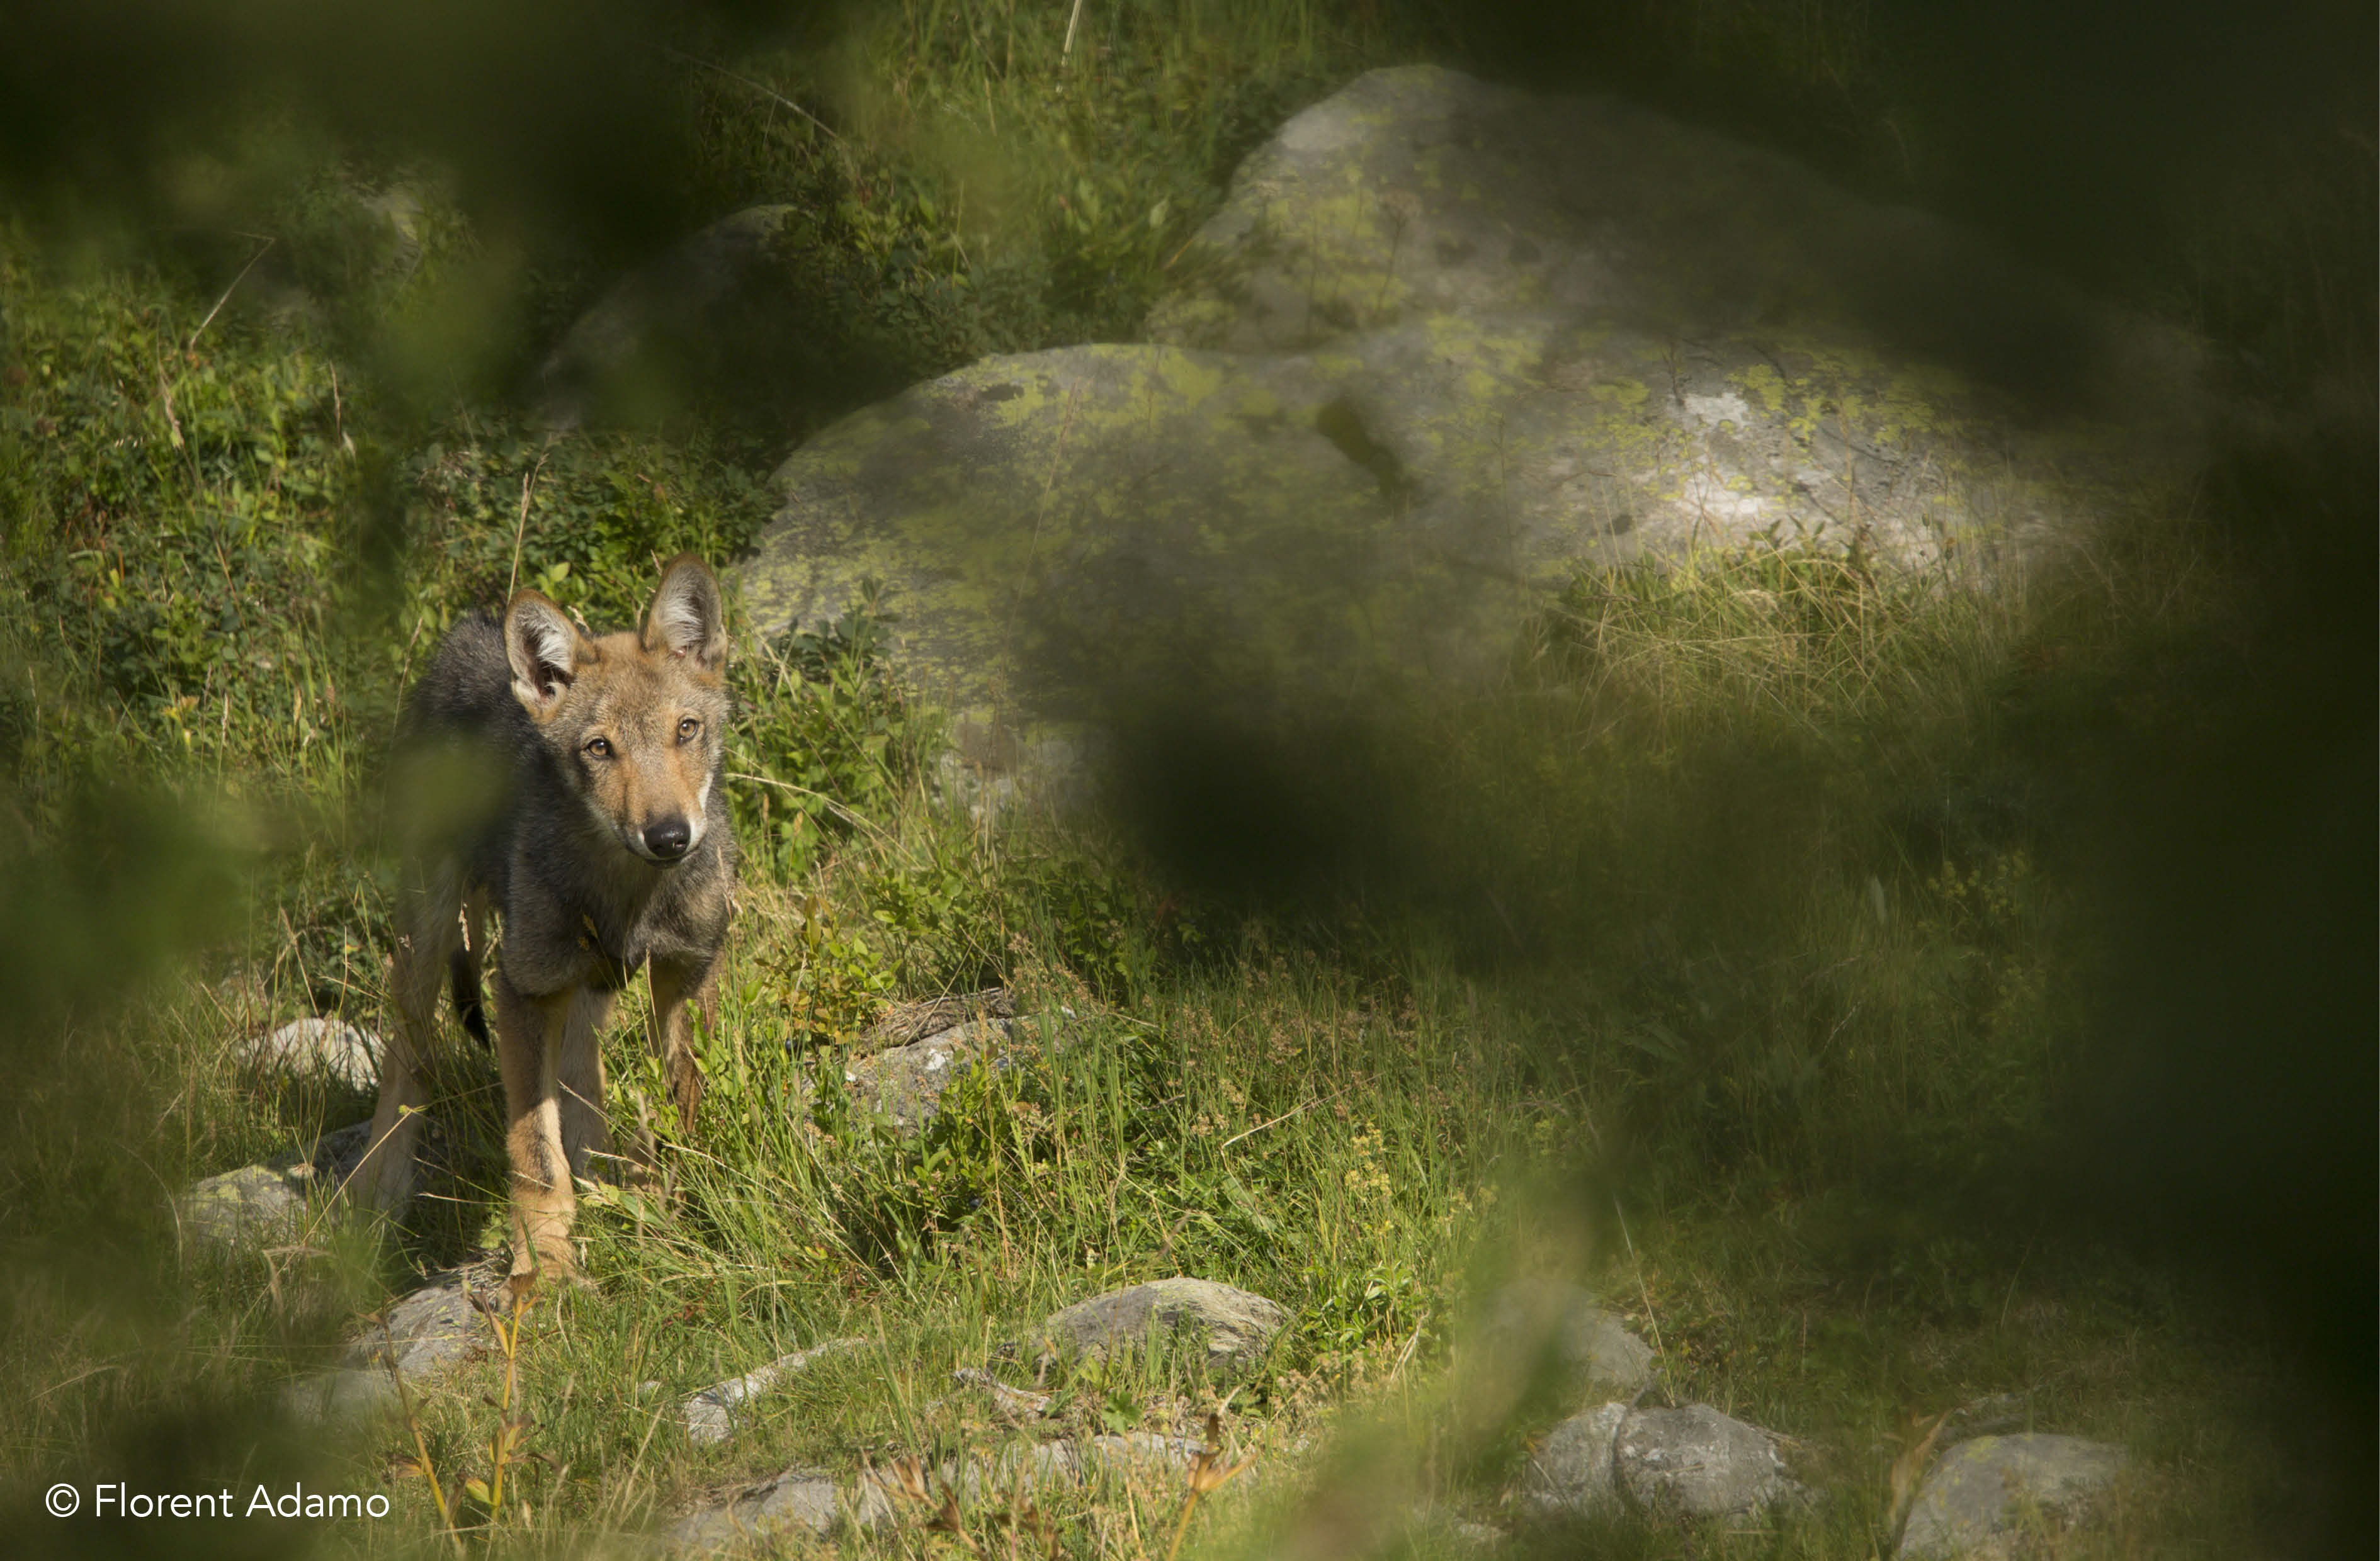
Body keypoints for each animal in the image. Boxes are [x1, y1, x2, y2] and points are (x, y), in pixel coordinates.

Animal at [352, 554, 738, 1282]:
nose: (670, 836)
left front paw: (681, 1204)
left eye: (686, 729)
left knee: (583, 1079)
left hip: (584, 985)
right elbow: (534, 1152)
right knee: (405, 1062)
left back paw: (609, 1183)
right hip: (433, 934)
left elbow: (683, 1103)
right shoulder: (522, 990)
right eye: (599, 748)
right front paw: (543, 1266)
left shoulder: (686, 974)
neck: (630, 896)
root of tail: (470, 628)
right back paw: (377, 1197)